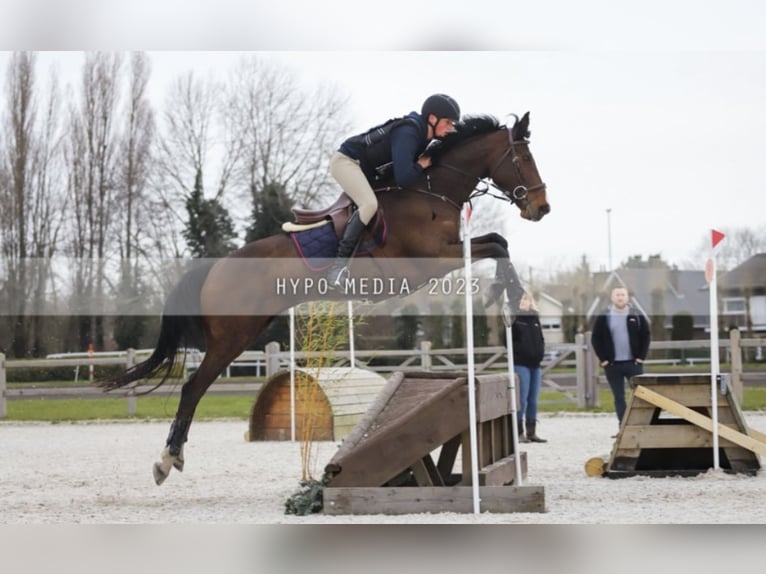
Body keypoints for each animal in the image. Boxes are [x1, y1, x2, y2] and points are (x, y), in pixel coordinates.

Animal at [103, 109, 552, 486]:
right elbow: (496, 243)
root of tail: (215, 266)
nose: (542, 208)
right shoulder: (433, 261)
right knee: (192, 388)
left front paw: (505, 293)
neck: (431, 190)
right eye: (523, 158)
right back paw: (167, 460)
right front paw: (507, 294)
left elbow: (498, 241)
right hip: (232, 337)